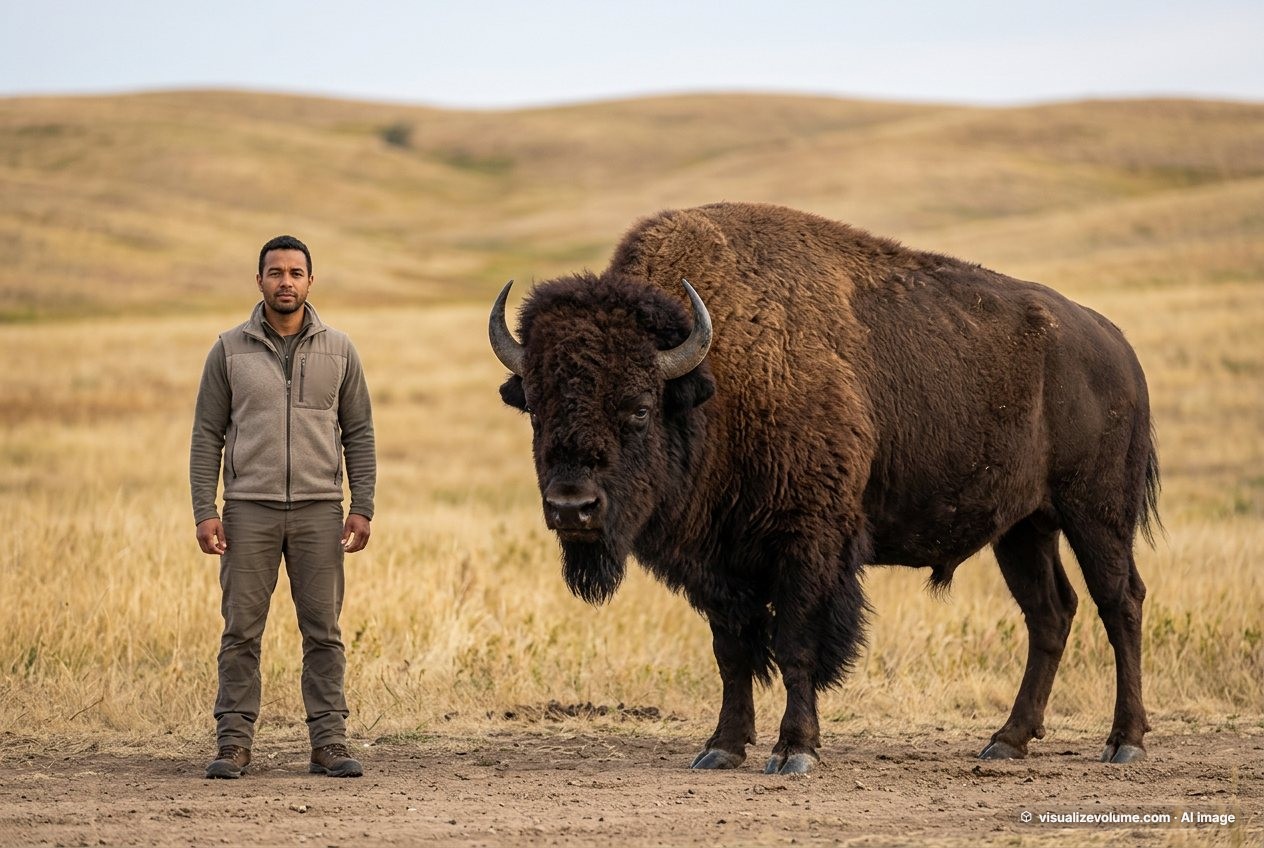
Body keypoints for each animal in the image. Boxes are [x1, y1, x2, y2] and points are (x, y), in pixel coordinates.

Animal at [489, 202, 1159, 774]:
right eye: (537, 409)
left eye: (638, 407)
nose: (573, 508)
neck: (716, 377)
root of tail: (1117, 346)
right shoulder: (716, 566)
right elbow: (732, 651)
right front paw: (721, 748)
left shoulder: (808, 543)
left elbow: (795, 644)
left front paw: (795, 752)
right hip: (1022, 529)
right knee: (1051, 613)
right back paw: (1007, 741)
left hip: (1096, 514)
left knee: (1119, 602)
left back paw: (1123, 742)